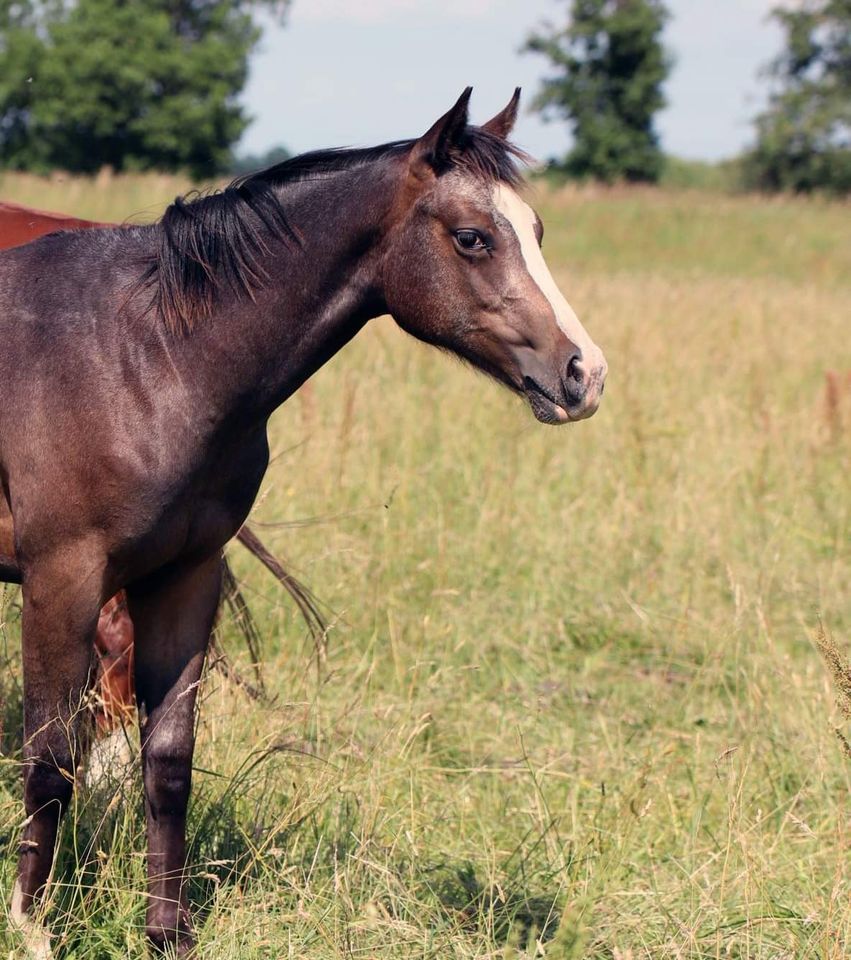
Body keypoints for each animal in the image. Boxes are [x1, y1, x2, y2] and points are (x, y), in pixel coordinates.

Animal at [3, 88, 608, 952]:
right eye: (472, 237)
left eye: (537, 232)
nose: (583, 373)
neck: (141, 354)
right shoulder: (62, 578)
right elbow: (51, 760)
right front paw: (33, 930)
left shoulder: (184, 577)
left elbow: (169, 762)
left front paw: (169, 936)